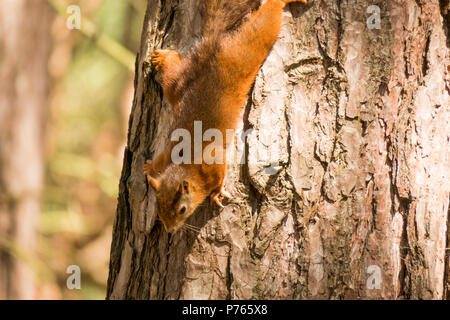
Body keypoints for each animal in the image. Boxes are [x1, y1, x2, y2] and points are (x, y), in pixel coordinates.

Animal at [144, 0, 306, 232]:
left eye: (182, 209)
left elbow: (219, 174)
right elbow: (159, 161)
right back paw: (163, 57)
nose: (170, 230)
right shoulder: (167, 155)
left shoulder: (211, 162)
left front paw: (216, 192)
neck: (184, 167)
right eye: (158, 207)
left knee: (266, 21)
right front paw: (149, 167)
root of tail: (216, 42)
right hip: (177, 85)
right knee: (172, 72)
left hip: (248, 47)